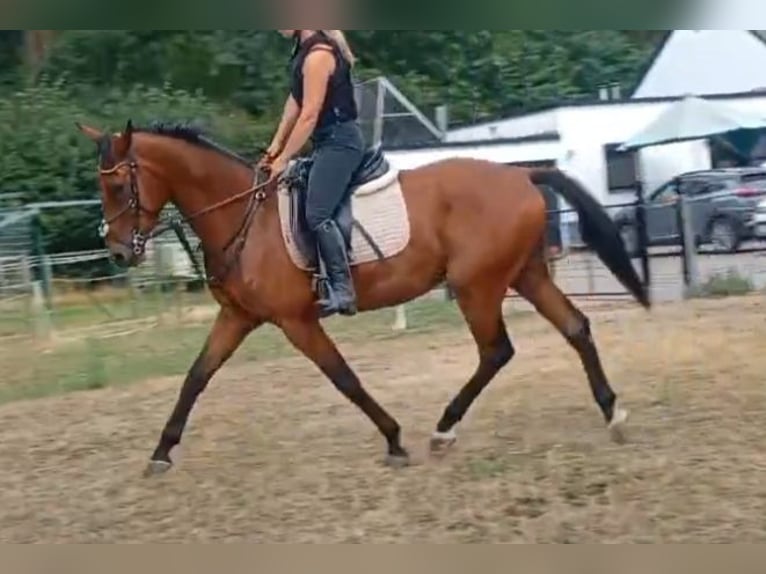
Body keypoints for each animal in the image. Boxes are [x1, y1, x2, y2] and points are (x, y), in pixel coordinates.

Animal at [76, 119, 650, 477]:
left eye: (119, 187)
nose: (119, 251)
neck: (244, 216)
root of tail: (521, 172)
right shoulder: (238, 317)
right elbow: (196, 377)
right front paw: (161, 452)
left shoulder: (296, 321)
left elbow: (344, 379)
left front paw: (394, 440)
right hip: (524, 275)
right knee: (575, 327)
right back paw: (613, 414)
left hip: (478, 285)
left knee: (496, 351)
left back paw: (443, 430)